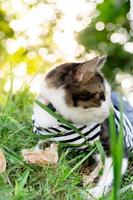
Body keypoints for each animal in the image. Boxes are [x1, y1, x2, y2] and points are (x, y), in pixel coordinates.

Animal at [32, 57, 132, 199]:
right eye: (101, 95)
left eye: (108, 95)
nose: (112, 111)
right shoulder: (44, 132)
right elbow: (40, 145)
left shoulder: (116, 146)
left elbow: (111, 173)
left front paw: (95, 192)